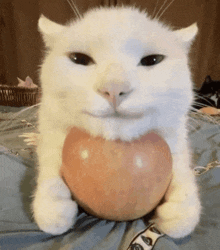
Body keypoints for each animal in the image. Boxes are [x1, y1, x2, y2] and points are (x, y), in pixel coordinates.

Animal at [32, 6, 201, 238]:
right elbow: (49, 163)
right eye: (79, 59)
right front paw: (53, 207)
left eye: (152, 60)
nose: (113, 88)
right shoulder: (50, 131)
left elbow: (183, 171)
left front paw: (179, 210)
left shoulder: (176, 138)